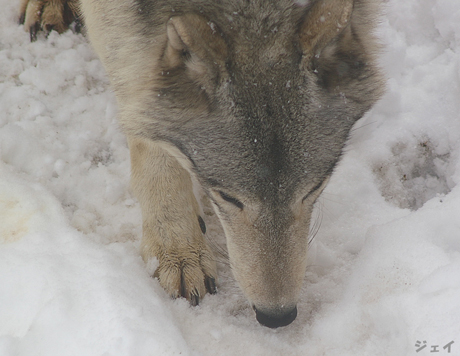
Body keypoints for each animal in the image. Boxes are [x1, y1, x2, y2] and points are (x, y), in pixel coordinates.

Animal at [18, 0, 384, 326]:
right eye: (228, 198)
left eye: (313, 189)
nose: (277, 316)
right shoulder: (122, 24)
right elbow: (152, 133)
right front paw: (178, 251)